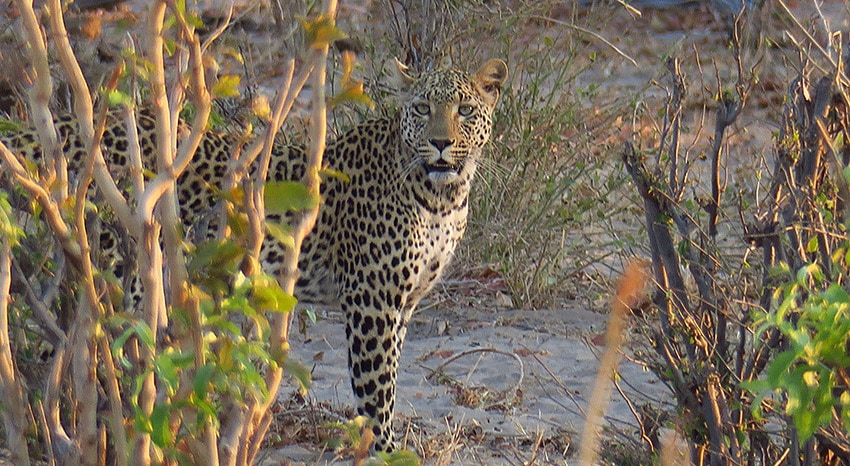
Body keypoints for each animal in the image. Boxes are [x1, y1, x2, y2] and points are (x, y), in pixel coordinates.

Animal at [0, 58, 508, 453]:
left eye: (465, 110)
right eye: (422, 109)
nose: (441, 143)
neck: (443, 196)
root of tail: (63, 125)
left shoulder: (404, 304)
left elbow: (392, 379)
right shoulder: (372, 302)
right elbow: (376, 391)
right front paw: (386, 451)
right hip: (120, 269)